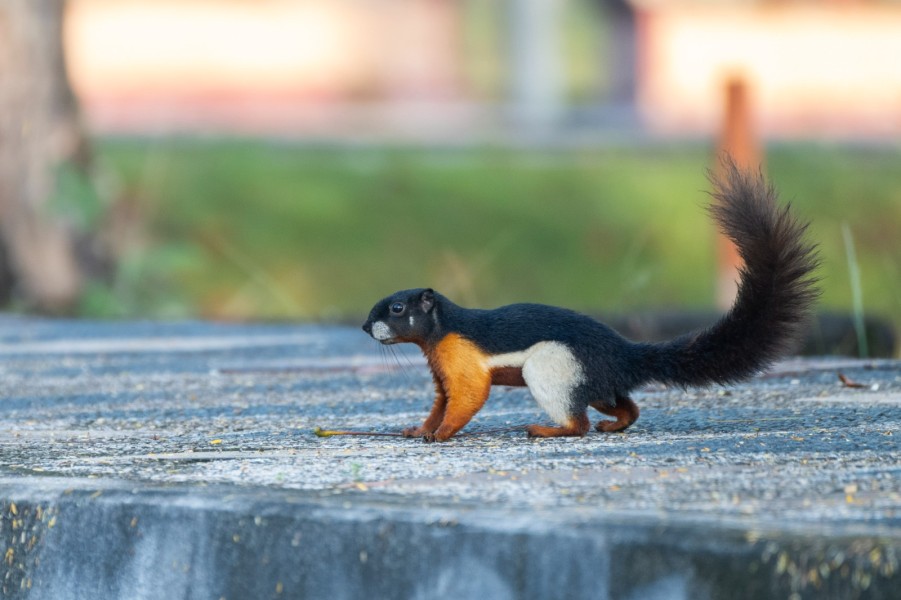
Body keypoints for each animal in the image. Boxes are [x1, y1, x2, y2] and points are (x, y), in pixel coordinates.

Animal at [358, 159, 816, 440]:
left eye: (397, 309)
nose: (364, 326)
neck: (442, 332)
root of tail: (624, 354)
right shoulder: (442, 372)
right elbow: (440, 402)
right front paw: (420, 429)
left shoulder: (462, 359)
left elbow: (466, 398)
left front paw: (440, 435)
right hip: (593, 382)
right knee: (626, 404)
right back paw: (613, 426)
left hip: (553, 369)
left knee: (577, 420)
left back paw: (548, 430)